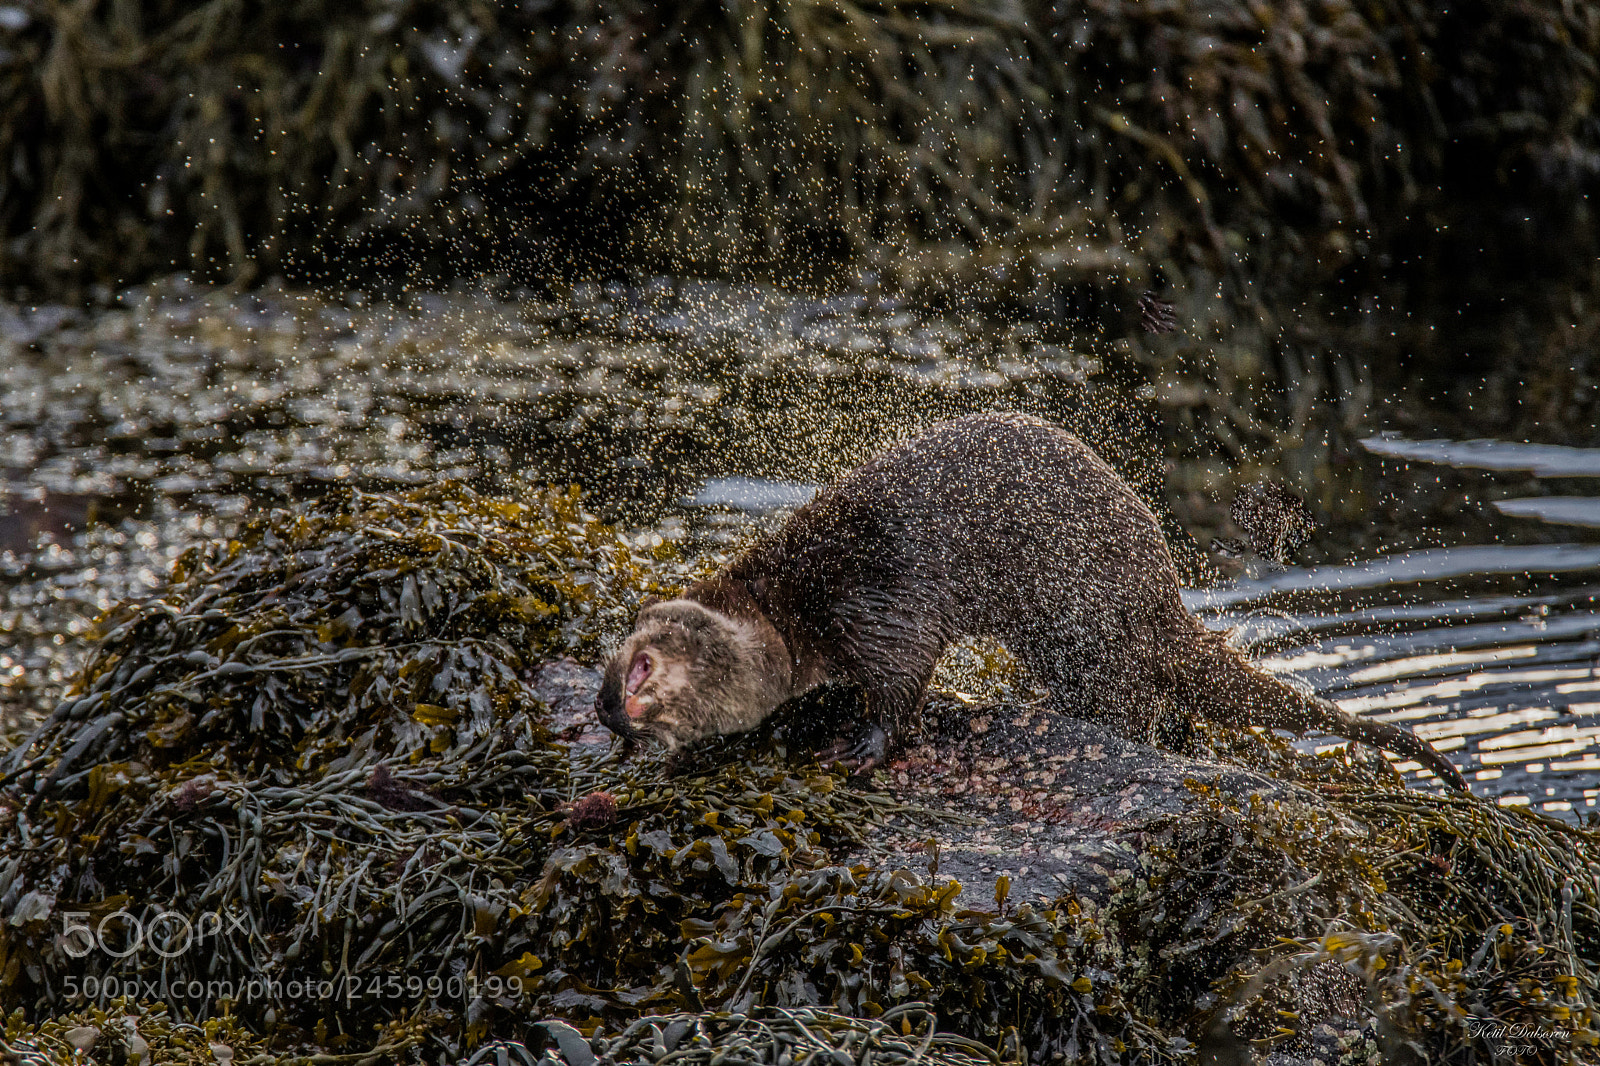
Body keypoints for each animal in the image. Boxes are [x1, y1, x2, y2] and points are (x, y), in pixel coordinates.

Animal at [595, 412, 1468, 791]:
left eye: (642, 667)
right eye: (608, 670)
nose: (605, 708)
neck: (794, 601)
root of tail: (1165, 603)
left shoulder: (876, 605)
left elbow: (901, 682)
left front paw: (864, 746)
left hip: (1092, 630)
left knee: (1133, 709)